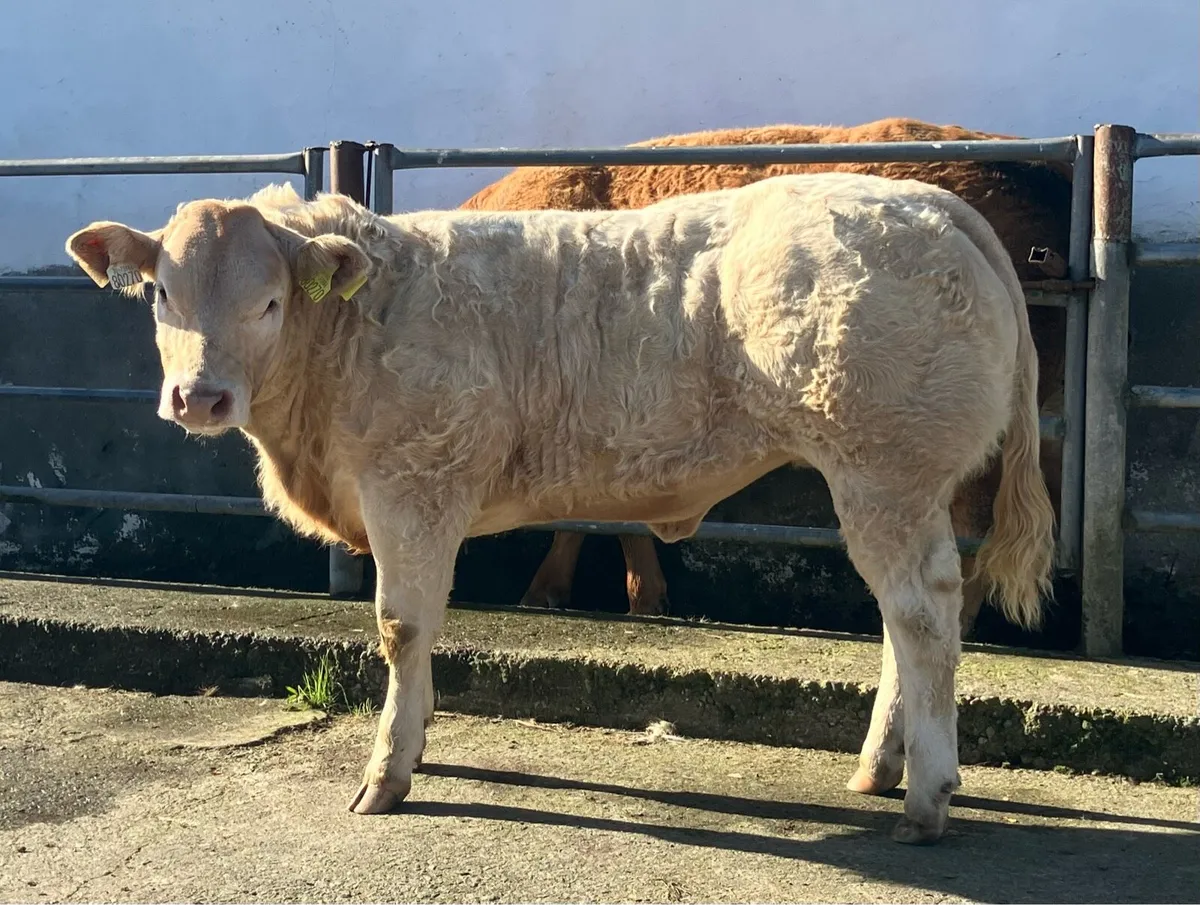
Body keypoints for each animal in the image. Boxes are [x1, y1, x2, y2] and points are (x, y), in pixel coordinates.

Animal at [66, 171, 1055, 843]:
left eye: (270, 301)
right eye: (161, 292)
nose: (199, 397)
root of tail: (927, 201)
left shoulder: (412, 483)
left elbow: (403, 626)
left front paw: (388, 771)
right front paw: (417, 742)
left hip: (885, 469)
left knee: (921, 612)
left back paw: (926, 794)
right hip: (892, 481)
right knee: (906, 613)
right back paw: (879, 767)